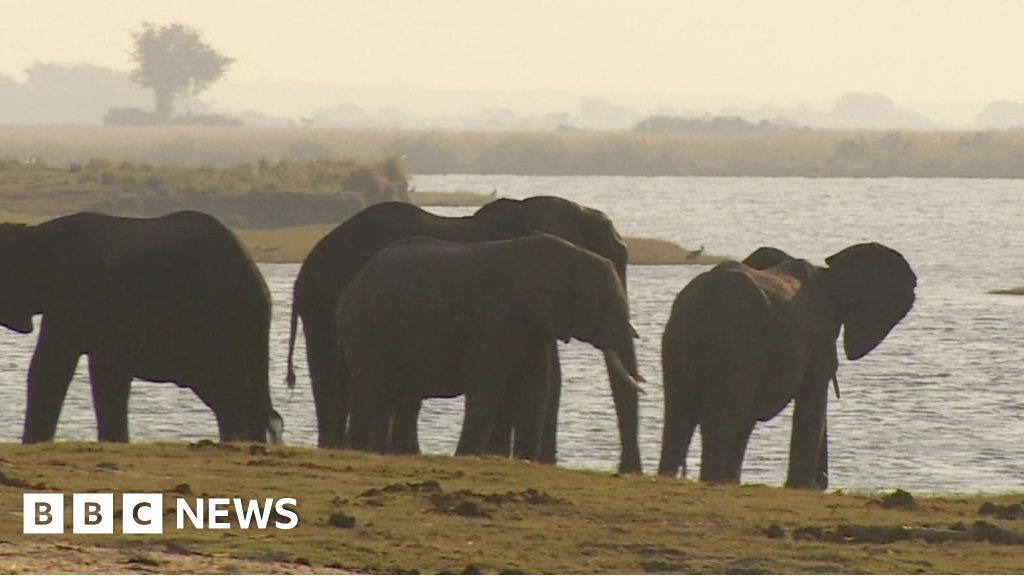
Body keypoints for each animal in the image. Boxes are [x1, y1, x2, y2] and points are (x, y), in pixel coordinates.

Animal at [0, 212, 280, 444]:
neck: (36, 235)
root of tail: (256, 283)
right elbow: (109, 379)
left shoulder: (68, 294)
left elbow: (49, 369)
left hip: (214, 320)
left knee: (225, 388)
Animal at [659, 239, 917, 485]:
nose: (820, 481)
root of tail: (701, 304)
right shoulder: (818, 337)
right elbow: (812, 400)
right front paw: (800, 486)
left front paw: (733, 482)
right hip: (736, 346)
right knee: (720, 418)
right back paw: (710, 480)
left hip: (679, 341)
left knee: (679, 416)